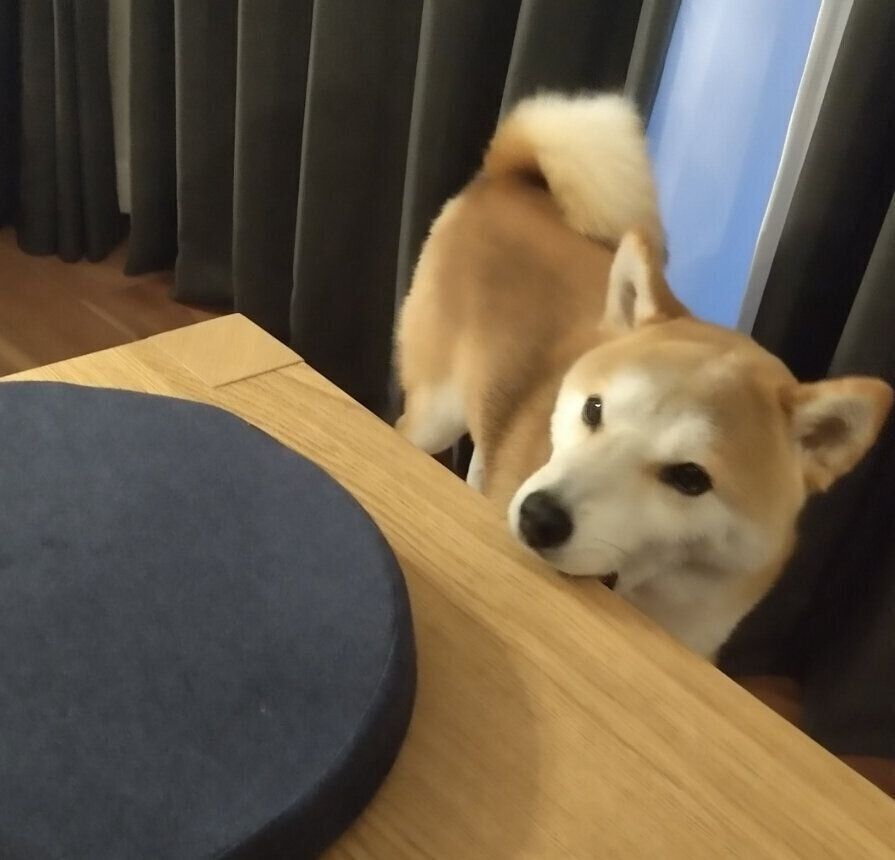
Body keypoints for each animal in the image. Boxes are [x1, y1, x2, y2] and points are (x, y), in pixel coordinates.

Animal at [393, 92, 893, 661]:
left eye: (691, 478)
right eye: (594, 409)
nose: (539, 516)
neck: (641, 595)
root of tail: (511, 177)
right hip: (436, 414)